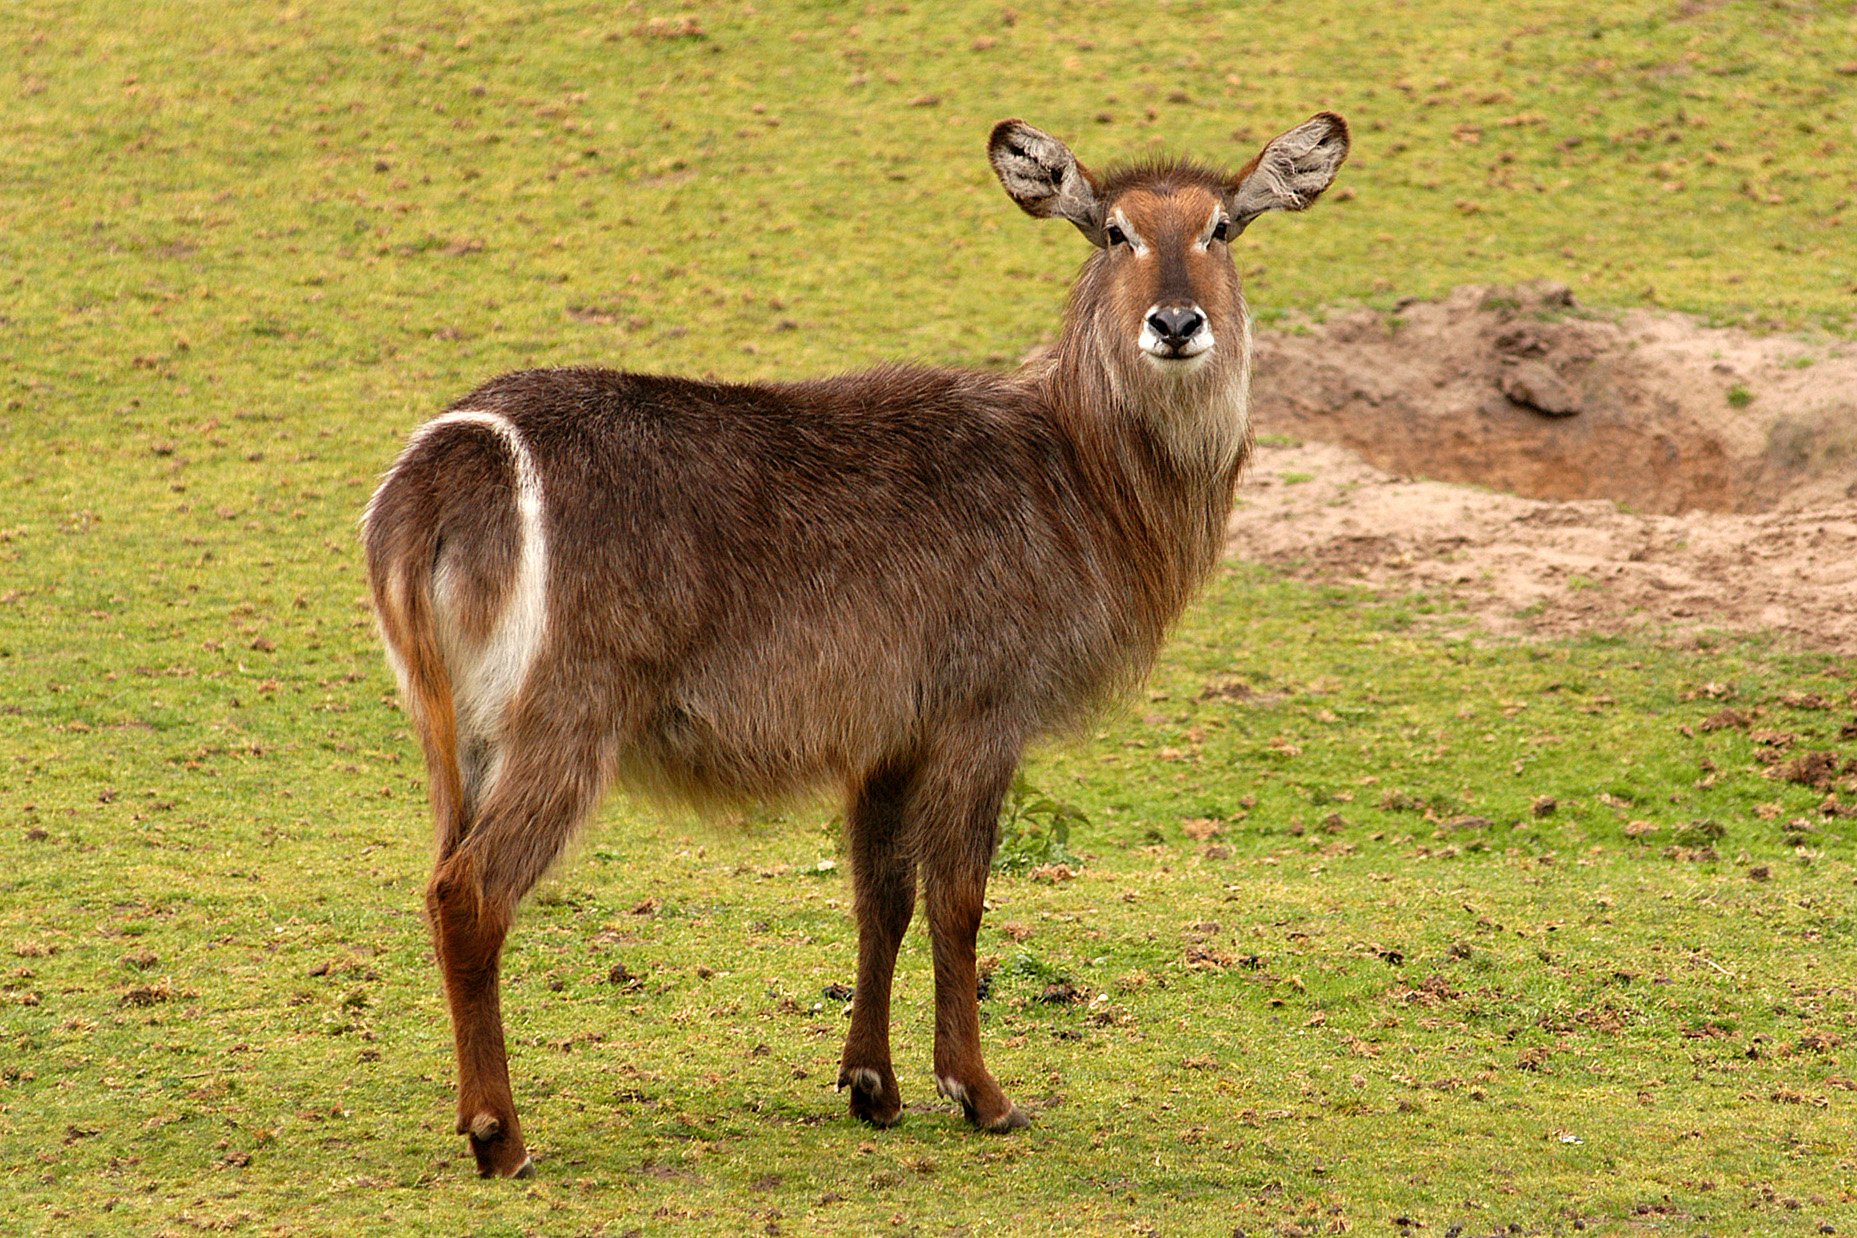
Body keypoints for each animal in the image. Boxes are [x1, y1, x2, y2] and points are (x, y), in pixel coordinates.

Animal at [362, 112, 1348, 1178]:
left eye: (1220, 228)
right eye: (1115, 231)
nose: (1174, 325)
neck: (1080, 472)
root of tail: (453, 458)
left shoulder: (887, 733)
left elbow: (882, 897)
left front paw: (871, 1084)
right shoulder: (980, 712)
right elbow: (959, 897)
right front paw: (980, 1093)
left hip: (453, 735)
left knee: (438, 884)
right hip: (565, 719)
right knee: (469, 892)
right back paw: (499, 1136)